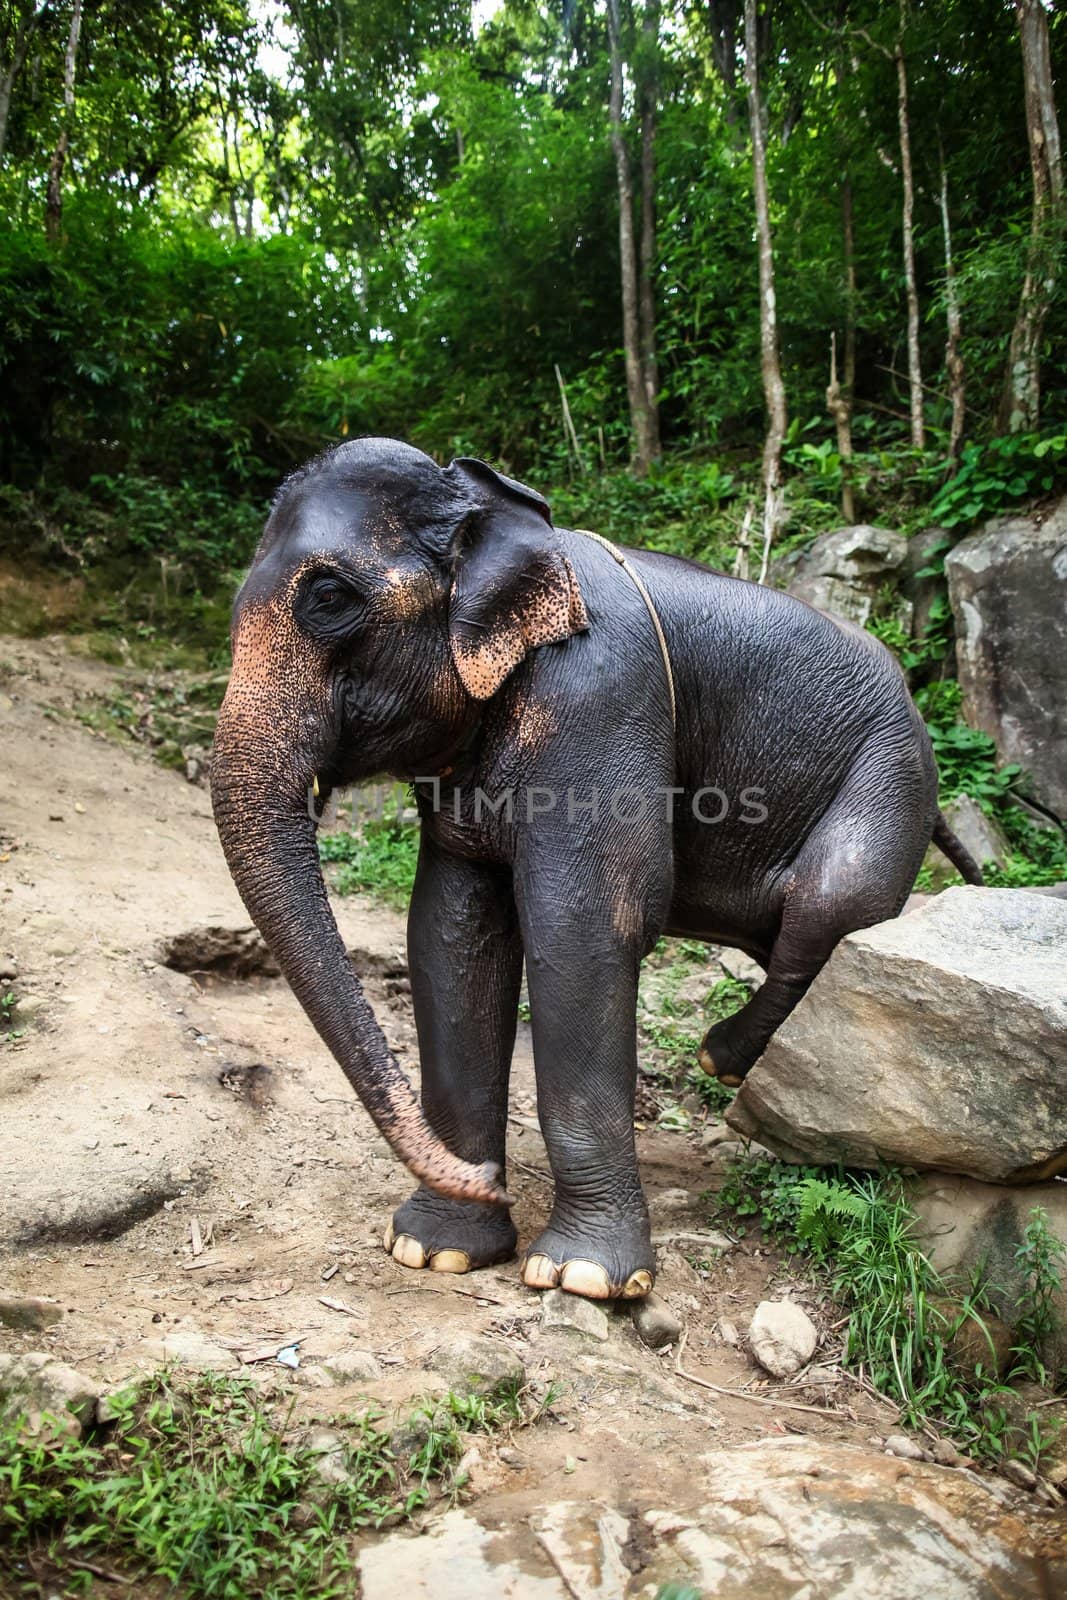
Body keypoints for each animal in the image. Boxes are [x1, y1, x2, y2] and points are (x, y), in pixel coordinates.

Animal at [211, 435, 985, 1299]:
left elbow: (582, 925)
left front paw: (582, 1277)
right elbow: (453, 933)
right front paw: (436, 1250)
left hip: (888, 771)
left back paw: (719, 1058)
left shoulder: (599, 696)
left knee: (827, 904)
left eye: (329, 598)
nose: (490, 1181)